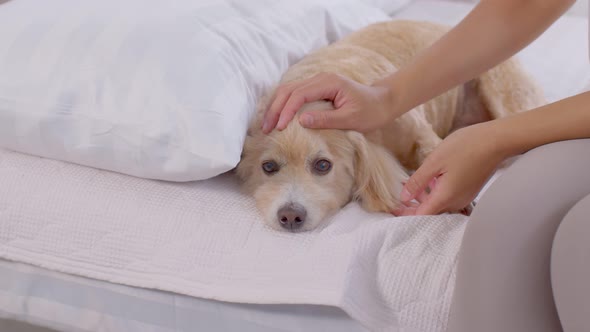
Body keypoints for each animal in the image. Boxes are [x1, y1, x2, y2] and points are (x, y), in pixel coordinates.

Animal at [236, 19, 544, 232]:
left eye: (323, 165)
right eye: (268, 167)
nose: (290, 215)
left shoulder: (416, 130)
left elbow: (432, 152)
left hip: (503, 92)